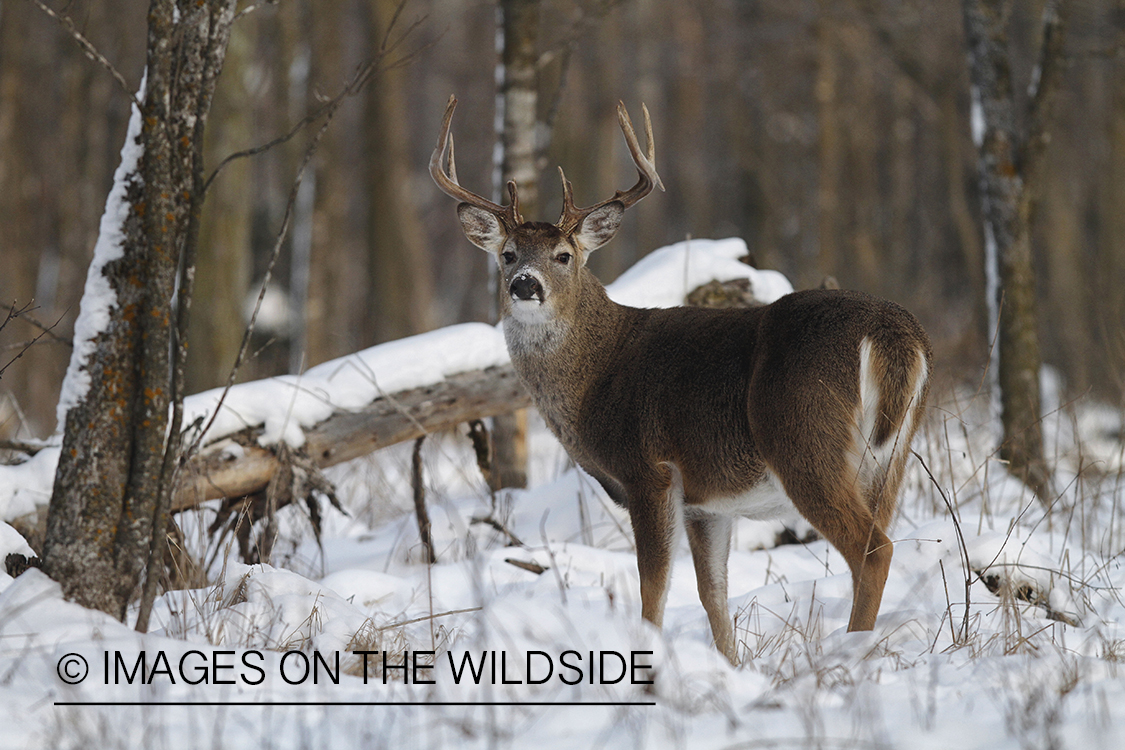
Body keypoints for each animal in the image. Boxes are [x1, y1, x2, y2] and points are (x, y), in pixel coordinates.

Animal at [429, 95, 931, 661]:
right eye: (508, 253)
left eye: (564, 256)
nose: (524, 284)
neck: (595, 376)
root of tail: (893, 333)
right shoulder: (705, 502)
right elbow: (713, 593)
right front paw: (731, 667)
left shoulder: (649, 470)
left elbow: (654, 586)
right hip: (891, 458)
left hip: (805, 438)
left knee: (872, 550)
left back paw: (849, 654)